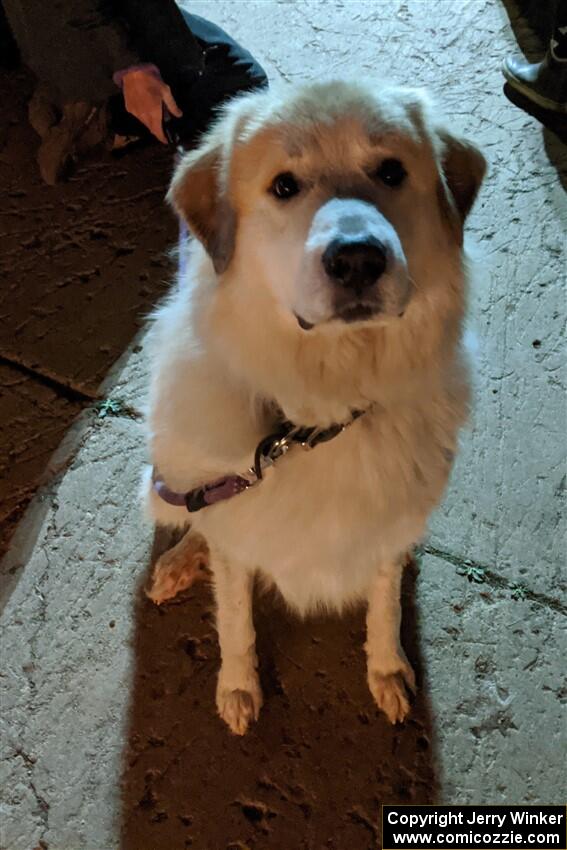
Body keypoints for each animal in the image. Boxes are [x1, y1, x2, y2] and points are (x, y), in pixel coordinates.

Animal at [141, 79, 484, 732]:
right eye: (284, 187)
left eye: (392, 172)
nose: (358, 258)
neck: (319, 414)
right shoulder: (237, 534)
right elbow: (235, 619)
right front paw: (238, 686)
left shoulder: (384, 532)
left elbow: (383, 606)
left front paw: (387, 670)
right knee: (197, 518)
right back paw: (178, 563)